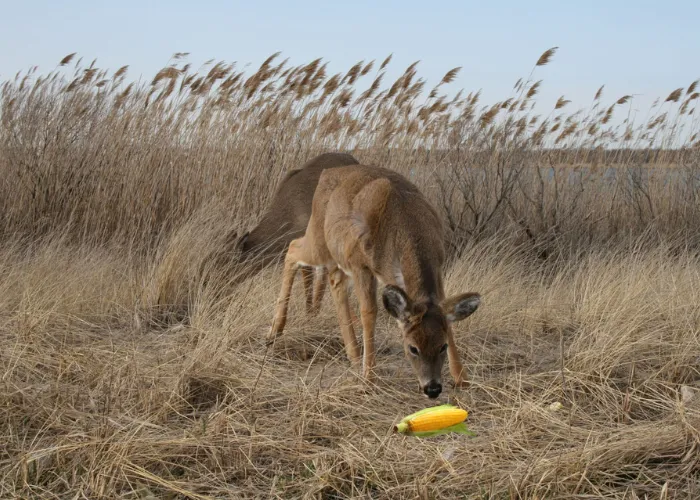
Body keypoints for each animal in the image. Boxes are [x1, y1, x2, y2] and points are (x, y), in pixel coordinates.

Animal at [268, 164, 482, 398]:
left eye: (442, 346)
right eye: (412, 348)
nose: (432, 388)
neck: (404, 227)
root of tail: (327, 172)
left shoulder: (438, 267)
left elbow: (447, 316)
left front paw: (462, 378)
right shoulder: (361, 266)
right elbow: (369, 313)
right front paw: (369, 379)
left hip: (337, 255)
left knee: (334, 282)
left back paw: (353, 354)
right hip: (319, 241)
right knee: (292, 249)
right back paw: (275, 330)